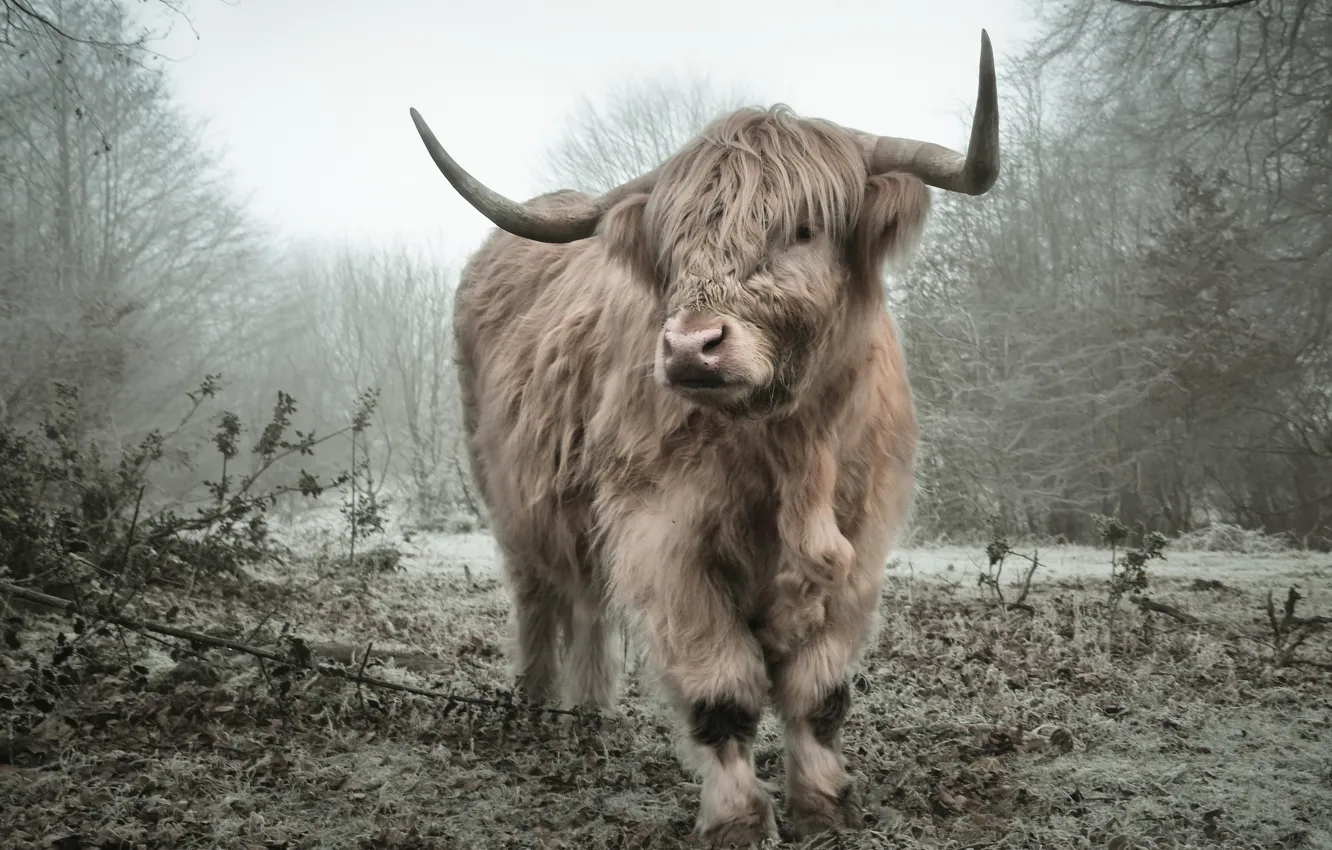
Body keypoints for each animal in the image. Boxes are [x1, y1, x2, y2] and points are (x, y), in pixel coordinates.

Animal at [409, 31, 999, 847]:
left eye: (804, 229)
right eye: (674, 245)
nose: (692, 346)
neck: (791, 449)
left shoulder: (860, 542)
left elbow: (820, 692)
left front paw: (824, 805)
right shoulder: (666, 540)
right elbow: (723, 691)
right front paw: (739, 818)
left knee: (587, 602)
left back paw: (589, 713)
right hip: (509, 496)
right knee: (538, 597)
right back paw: (536, 706)